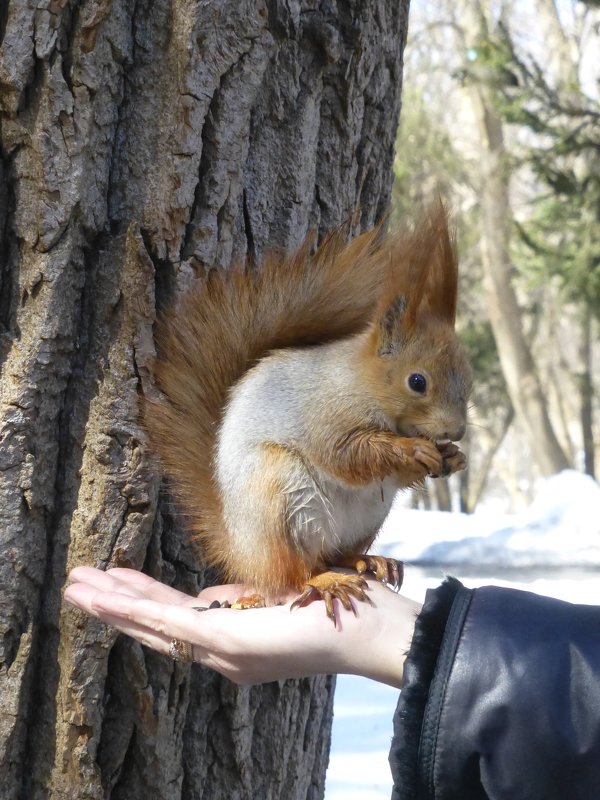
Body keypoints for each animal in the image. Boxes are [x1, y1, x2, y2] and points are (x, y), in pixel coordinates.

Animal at [143, 205, 472, 620]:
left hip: (367, 517)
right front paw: (411, 449)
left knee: (334, 554)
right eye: (417, 381)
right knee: (294, 572)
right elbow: (347, 457)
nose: (456, 432)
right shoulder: (324, 415)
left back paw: (368, 561)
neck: (362, 383)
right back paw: (326, 581)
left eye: (468, 376)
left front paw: (454, 457)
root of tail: (242, 553)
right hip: (280, 494)